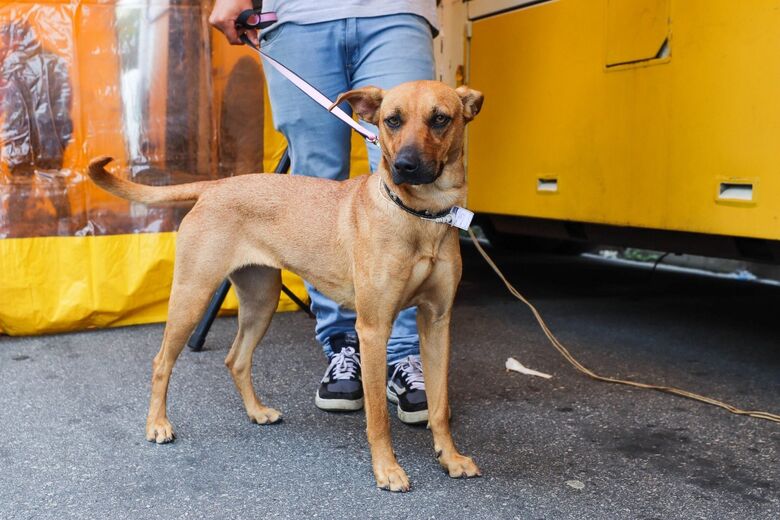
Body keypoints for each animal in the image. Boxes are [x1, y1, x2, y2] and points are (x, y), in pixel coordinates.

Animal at [90, 79, 482, 490]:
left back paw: (256, 411)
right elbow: (378, 416)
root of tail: (217, 185)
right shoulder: (373, 329)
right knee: (162, 361)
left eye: (440, 119)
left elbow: (439, 407)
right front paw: (387, 469)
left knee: (236, 359)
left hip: (261, 301)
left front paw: (450, 458)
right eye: (392, 120)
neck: (421, 217)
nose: (405, 165)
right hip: (192, 296)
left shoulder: (437, 322)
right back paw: (157, 424)